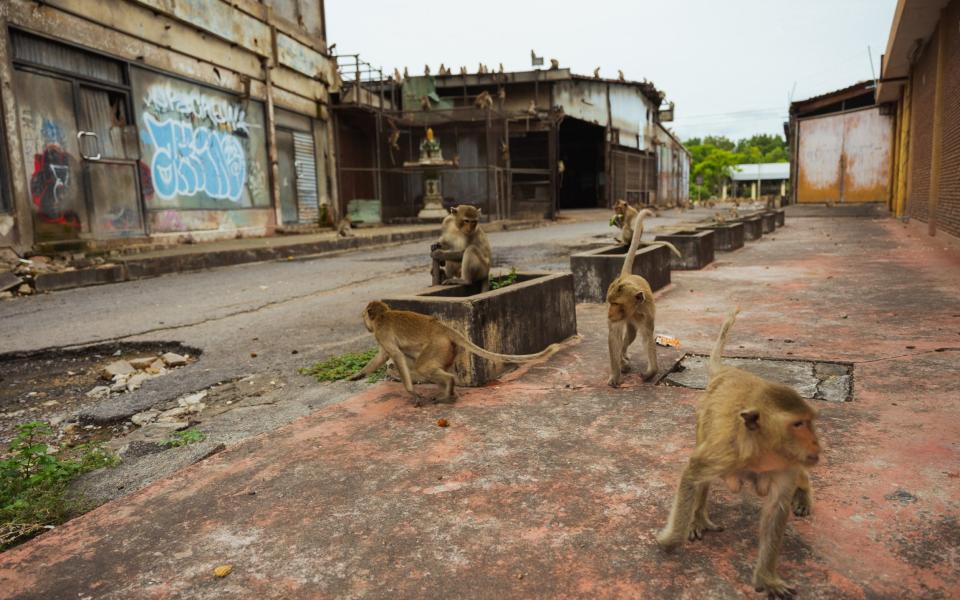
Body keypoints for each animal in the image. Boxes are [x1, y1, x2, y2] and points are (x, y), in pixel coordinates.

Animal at [348, 302, 564, 406]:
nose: (365, 323)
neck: (382, 317)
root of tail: (442, 327)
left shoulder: (382, 333)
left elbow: (396, 356)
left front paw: (412, 393)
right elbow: (383, 357)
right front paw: (357, 375)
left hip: (438, 345)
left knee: (422, 367)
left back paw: (448, 386)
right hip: (447, 349)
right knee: (430, 367)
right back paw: (447, 391)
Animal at [656, 310, 820, 600]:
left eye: (810, 423)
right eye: (798, 424)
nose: (815, 443)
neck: (761, 453)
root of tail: (724, 371)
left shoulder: (788, 463)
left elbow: (776, 509)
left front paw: (767, 578)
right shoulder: (724, 451)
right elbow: (693, 473)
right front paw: (670, 539)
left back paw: (803, 494)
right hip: (703, 421)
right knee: (701, 471)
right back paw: (698, 517)